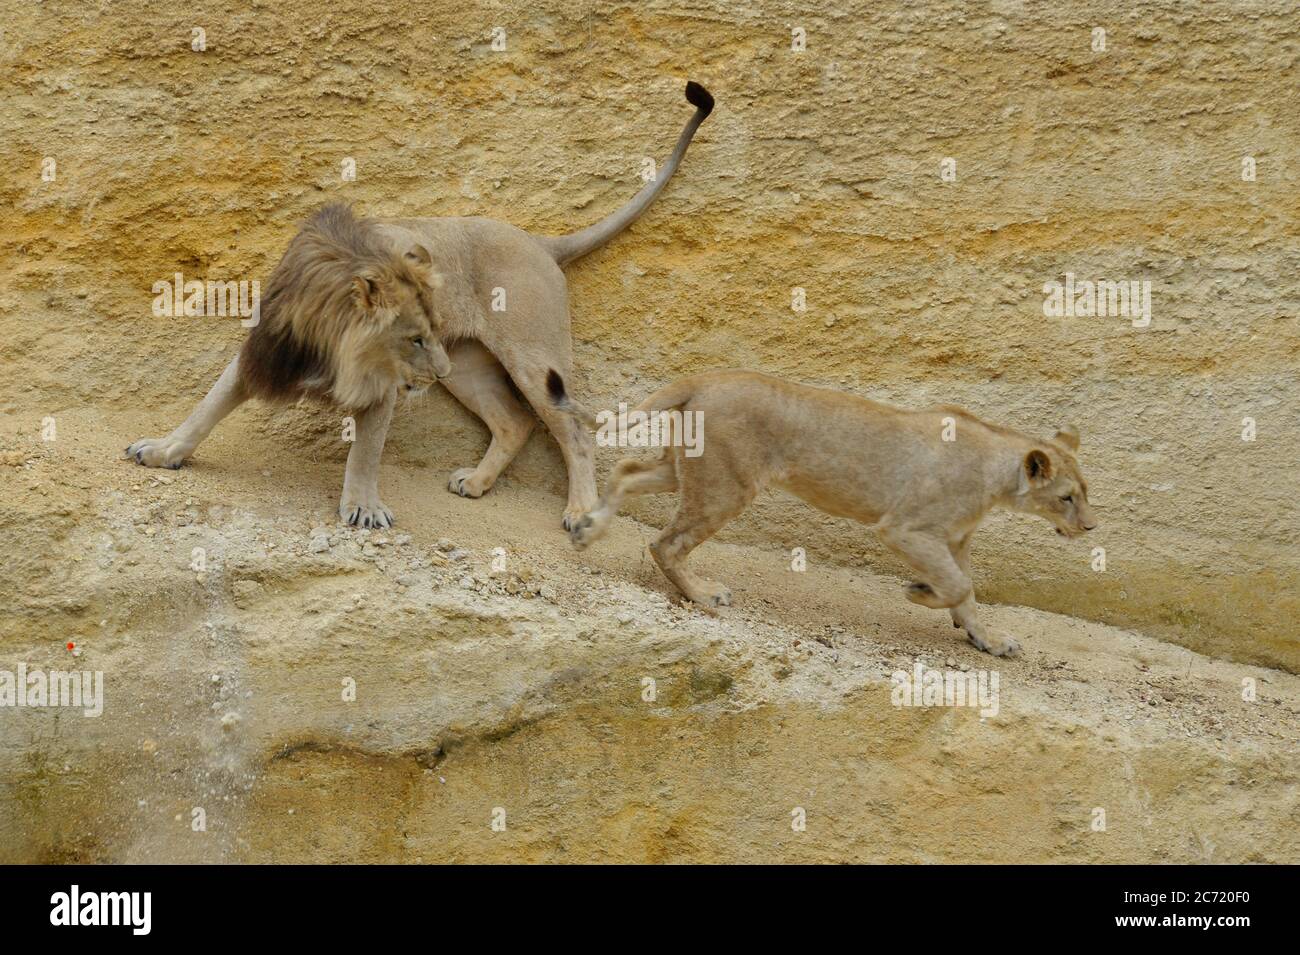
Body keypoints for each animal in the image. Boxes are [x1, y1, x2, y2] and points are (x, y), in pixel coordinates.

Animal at [126, 81, 717, 530]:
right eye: (415, 336)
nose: (432, 366)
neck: (329, 332)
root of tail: (541, 242)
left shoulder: (381, 380)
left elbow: (365, 450)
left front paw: (363, 508)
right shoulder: (268, 349)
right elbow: (207, 406)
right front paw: (163, 451)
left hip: (531, 357)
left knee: (573, 431)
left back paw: (578, 510)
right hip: (469, 366)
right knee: (512, 423)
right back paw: (476, 483)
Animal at [546, 369, 1097, 657]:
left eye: (1084, 493)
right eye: (1067, 497)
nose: (1090, 526)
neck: (997, 473)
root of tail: (706, 375)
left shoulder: (955, 539)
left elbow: (968, 591)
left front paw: (987, 638)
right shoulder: (906, 530)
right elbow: (959, 586)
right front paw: (920, 593)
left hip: (689, 471)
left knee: (626, 470)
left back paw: (588, 530)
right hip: (726, 488)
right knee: (665, 542)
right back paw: (702, 594)